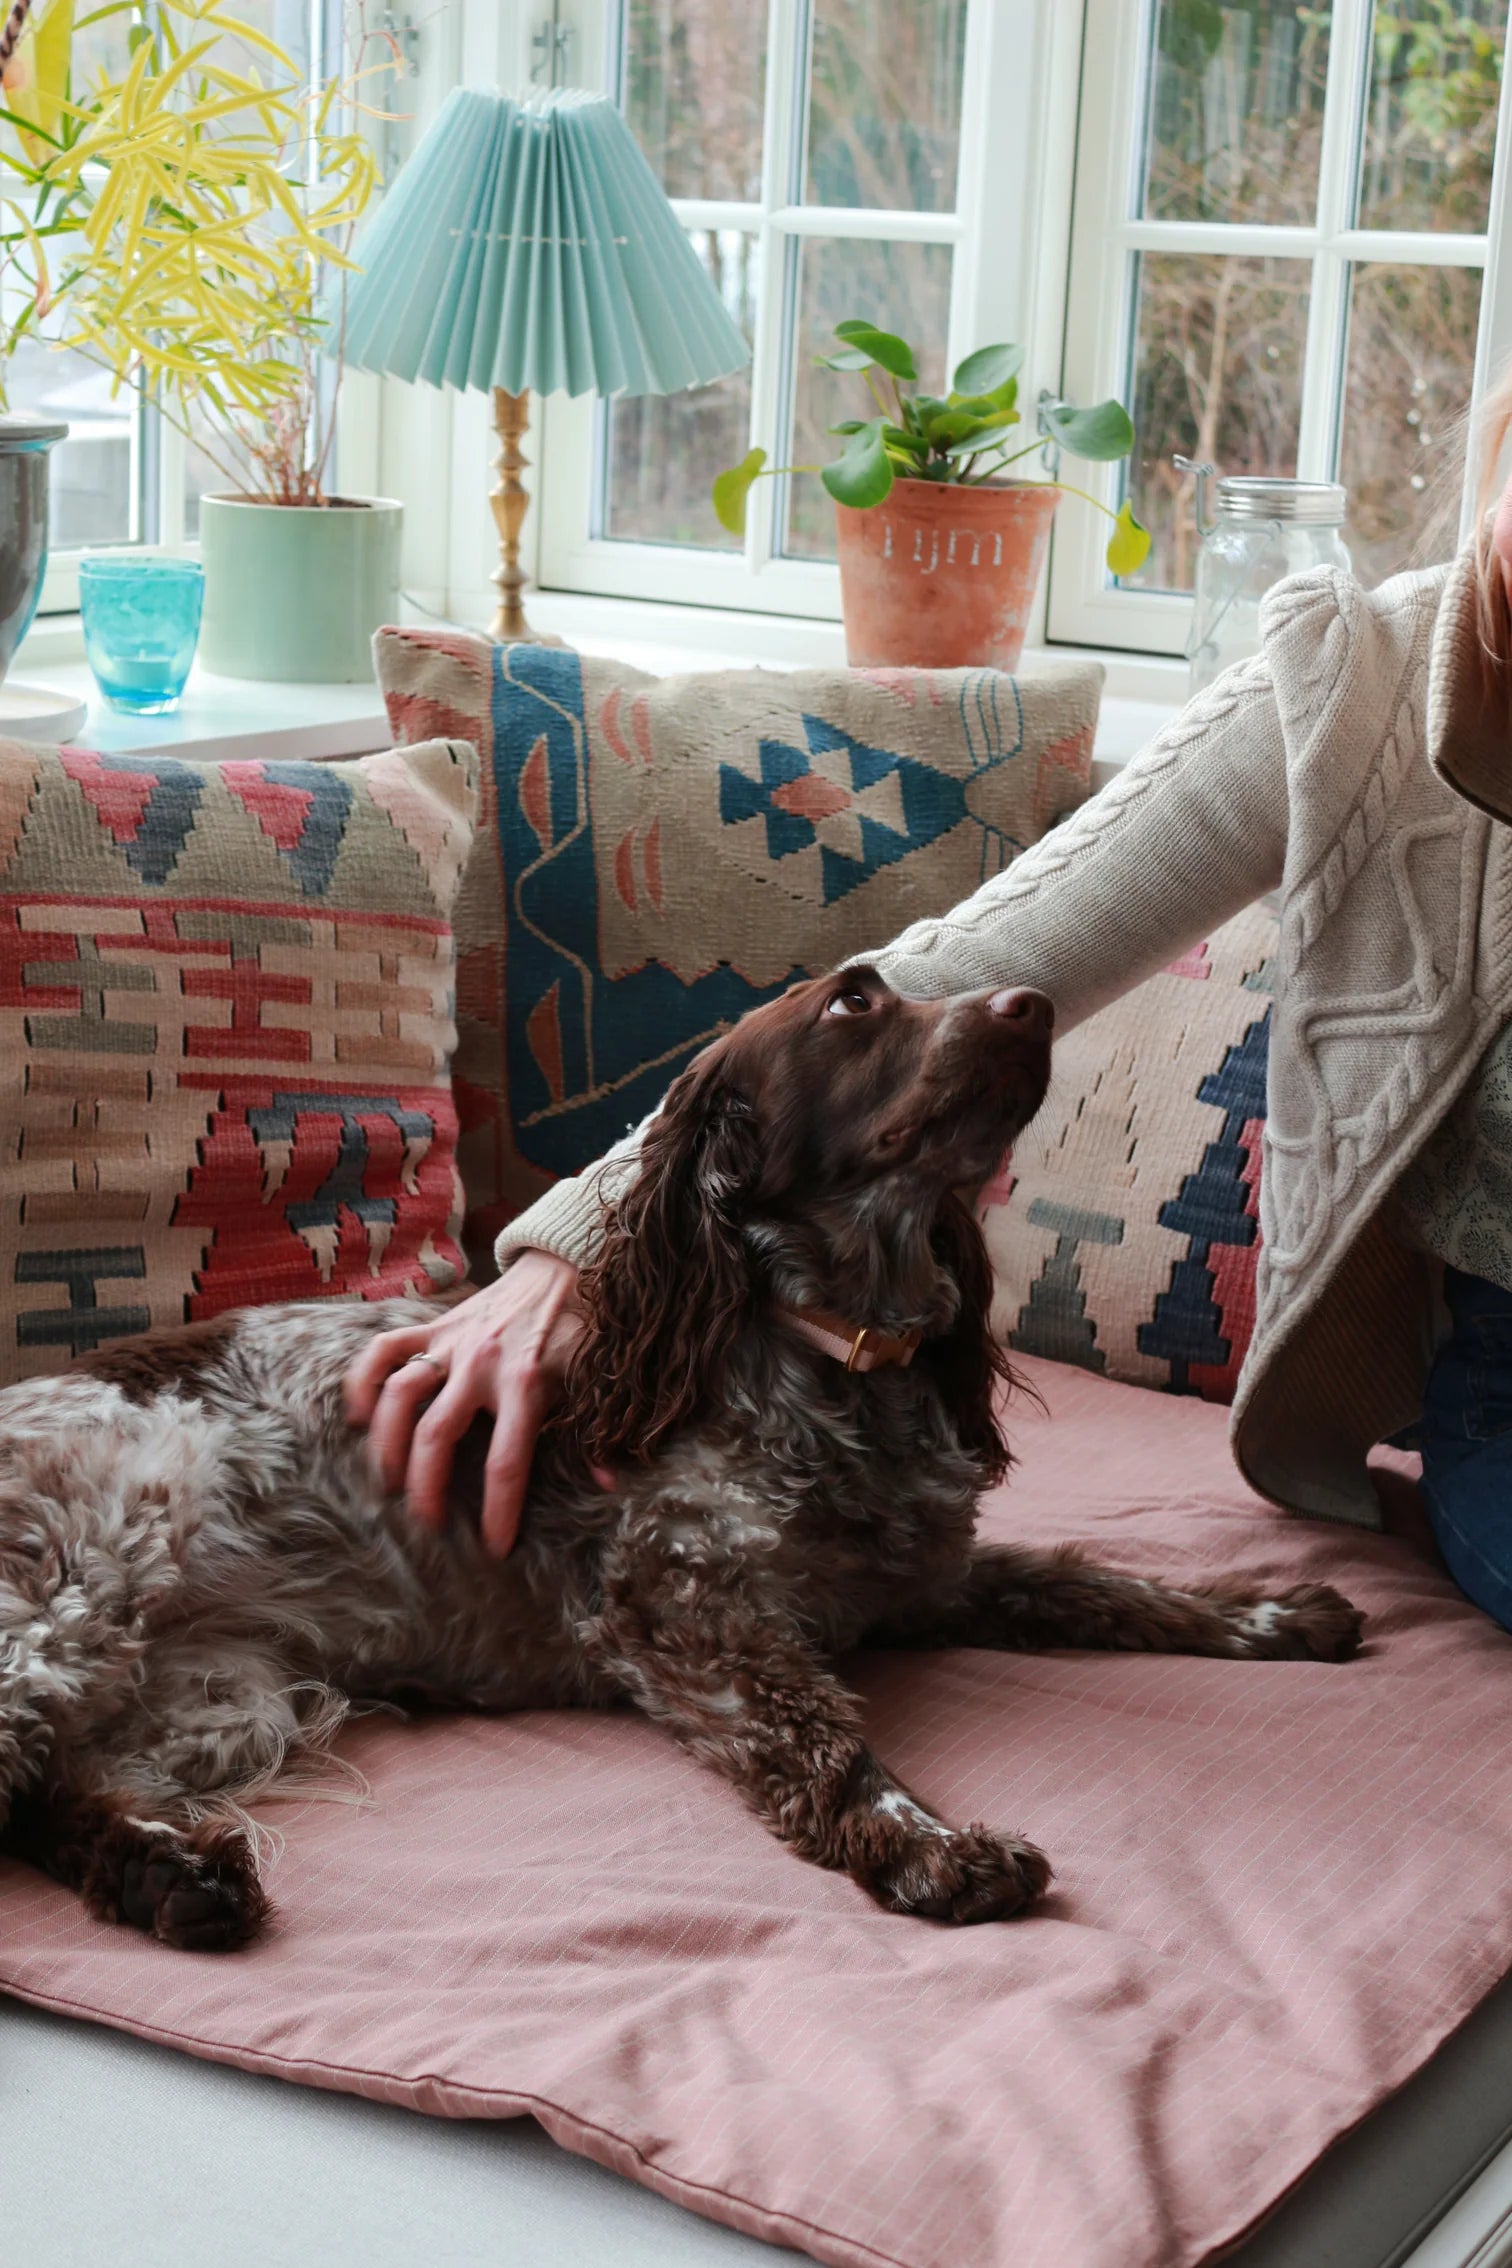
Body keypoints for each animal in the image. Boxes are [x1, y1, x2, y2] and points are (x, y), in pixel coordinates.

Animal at [0, 966, 1369, 1941]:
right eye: (855, 1001)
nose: (1032, 1003)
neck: (833, 1355)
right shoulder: (685, 1607)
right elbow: (826, 1742)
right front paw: (929, 1850)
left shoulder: (918, 1579)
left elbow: (1096, 1584)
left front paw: (1269, 1617)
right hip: (101, 1568)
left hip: (226, 1688)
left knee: (63, 1789)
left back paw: (176, 1880)